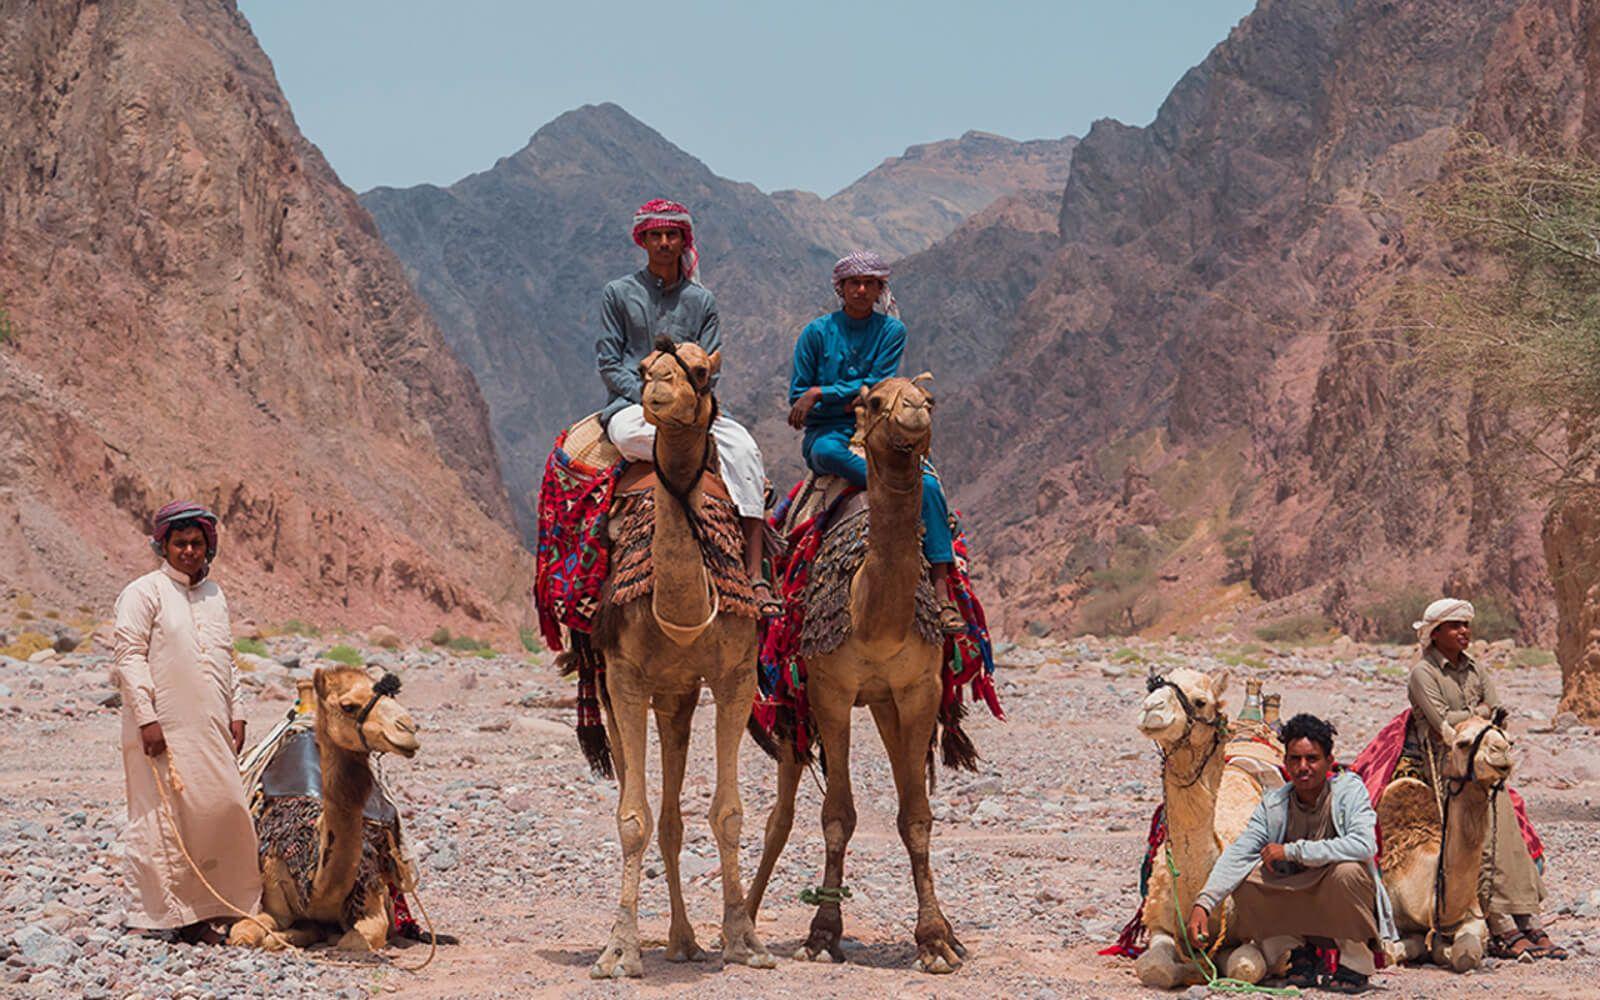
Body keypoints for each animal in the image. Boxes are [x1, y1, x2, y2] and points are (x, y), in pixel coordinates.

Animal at [588, 336, 774, 972]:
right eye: (645, 366)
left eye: (699, 370)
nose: (657, 389)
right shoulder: (623, 676)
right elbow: (630, 819)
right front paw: (619, 950)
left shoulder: (735, 674)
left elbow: (728, 814)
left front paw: (744, 939)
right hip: (623, 686)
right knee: (652, 811)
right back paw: (675, 939)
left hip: (679, 695)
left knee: (673, 818)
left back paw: (686, 940)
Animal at [748, 372, 960, 966]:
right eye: (874, 400)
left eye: (929, 399)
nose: (913, 411)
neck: (872, 615)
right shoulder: (830, 689)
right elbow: (837, 814)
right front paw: (822, 934)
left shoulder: (918, 688)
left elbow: (916, 816)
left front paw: (936, 939)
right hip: (790, 705)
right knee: (780, 815)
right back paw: (742, 919)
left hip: (885, 703)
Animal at [1376, 710, 1510, 966]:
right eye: (1463, 743)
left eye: (1509, 740)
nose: (1502, 751)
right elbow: (1390, 951)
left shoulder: (1473, 915)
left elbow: (1466, 953)